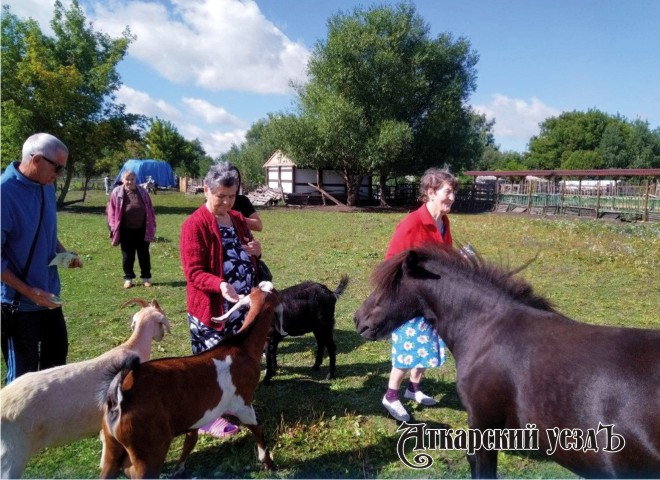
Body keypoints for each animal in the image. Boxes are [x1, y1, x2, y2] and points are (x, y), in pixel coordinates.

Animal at [99, 284, 280, 478]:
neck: (242, 346)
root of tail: (120, 399)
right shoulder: (243, 403)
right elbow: (258, 428)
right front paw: (267, 463)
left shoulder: (196, 417)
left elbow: (191, 440)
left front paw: (179, 468)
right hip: (148, 454)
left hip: (111, 448)